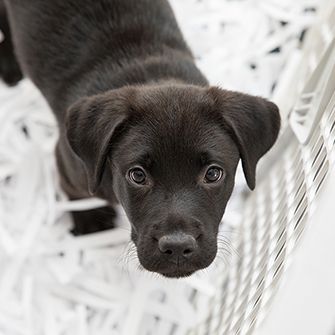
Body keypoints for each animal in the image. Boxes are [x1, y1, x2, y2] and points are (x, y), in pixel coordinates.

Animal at [0, 0, 280, 278]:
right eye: (137, 175)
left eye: (213, 174)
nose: (177, 247)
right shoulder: (70, 164)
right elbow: (76, 193)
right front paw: (91, 222)